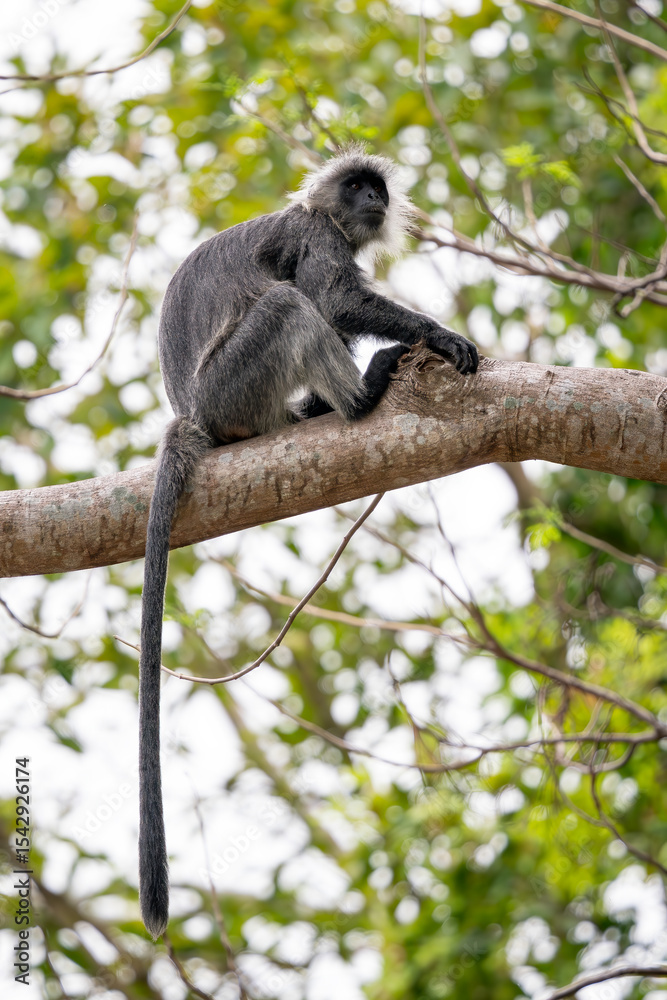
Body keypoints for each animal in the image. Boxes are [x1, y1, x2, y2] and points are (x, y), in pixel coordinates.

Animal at [138, 147, 478, 939]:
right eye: (356, 188)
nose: (371, 201)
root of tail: (192, 414)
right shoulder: (316, 234)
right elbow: (335, 299)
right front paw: (438, 336)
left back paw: (324, 404)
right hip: (235, 385)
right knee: (291, 305)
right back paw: (355, 401)